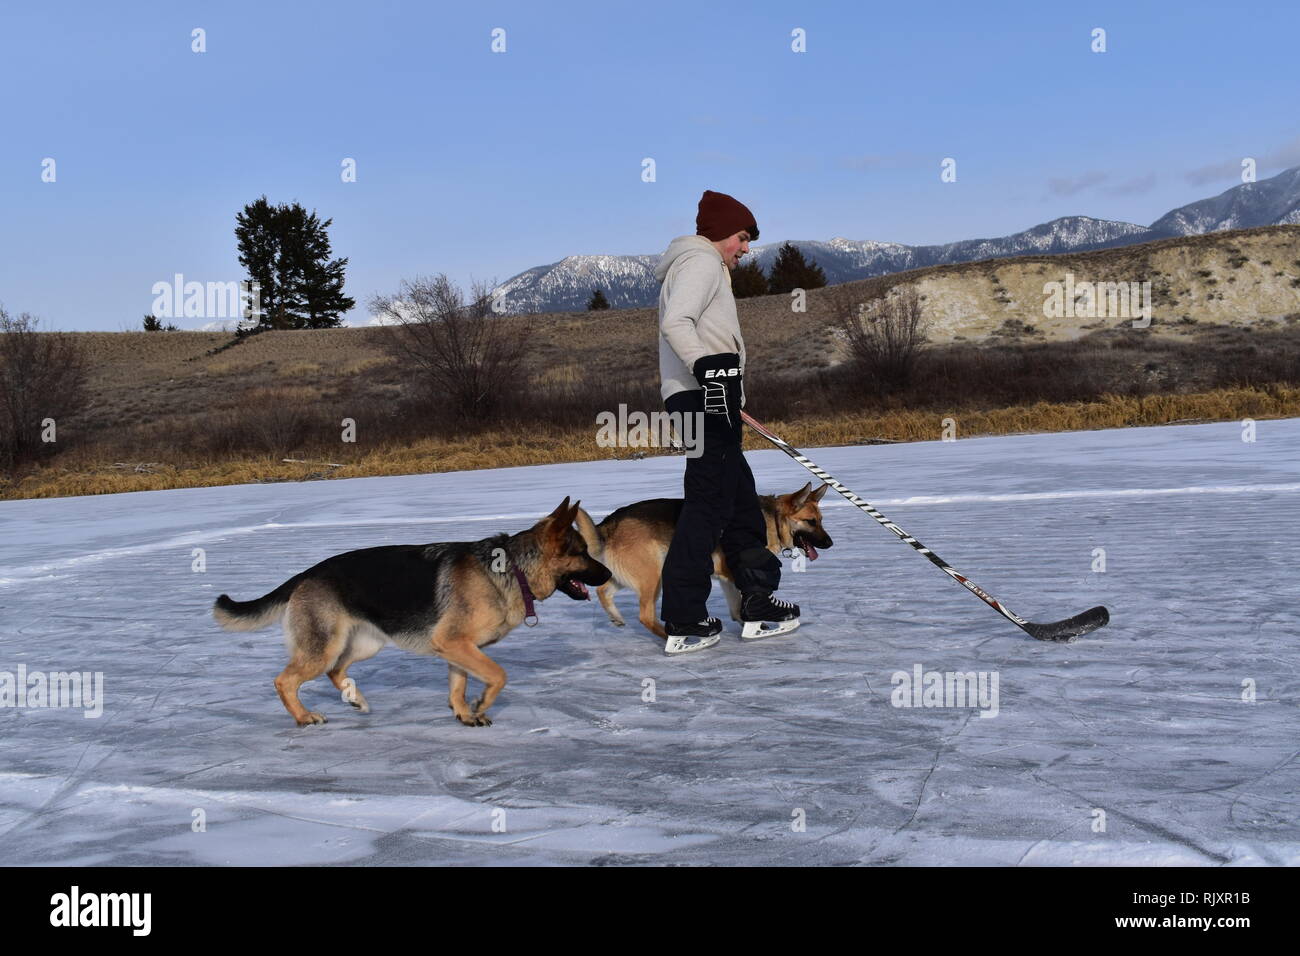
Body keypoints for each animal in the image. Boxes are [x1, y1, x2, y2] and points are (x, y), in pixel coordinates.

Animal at [214, 502, 613, 723]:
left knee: (335, 671)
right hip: (324, 647)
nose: (610, 574)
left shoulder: (457, 648)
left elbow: (459, 685)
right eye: (581, 553)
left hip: (364, 644)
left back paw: (355, 698)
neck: (512, 567)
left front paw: (464, 714)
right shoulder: (454, 644)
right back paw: (304, 717)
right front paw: (481, 704)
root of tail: (306, 574)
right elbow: (498, 676)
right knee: (285, 680)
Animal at [577, 486, 832, 642]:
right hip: (654, 575)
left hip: (626, 576)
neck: (773, 520)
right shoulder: (736, 574)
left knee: (602, 591)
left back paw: (617, 618)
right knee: (645, 616)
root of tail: (610, 523)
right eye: (810, 522)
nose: (830, 543)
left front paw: (747, 623)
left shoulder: (727, 578)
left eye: (821, 520)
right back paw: (673, 637)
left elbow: (736, 608)